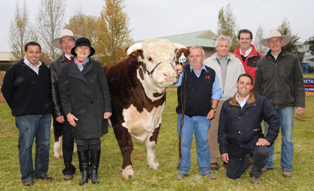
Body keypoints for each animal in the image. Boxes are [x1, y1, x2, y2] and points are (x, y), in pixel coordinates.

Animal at [104, 38, 190, 179]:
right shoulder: (119, 122)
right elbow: (126, 146)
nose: (169, 74)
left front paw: (153, 164)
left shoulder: (157, 120)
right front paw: (127, 170)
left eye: (173, 58)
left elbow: (151, 143)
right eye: (149, 58)